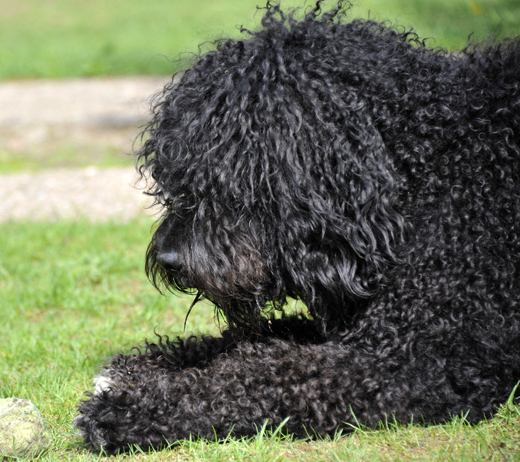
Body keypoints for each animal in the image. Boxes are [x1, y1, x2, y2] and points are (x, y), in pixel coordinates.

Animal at [74, 0, 520, 454]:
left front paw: (132, 409)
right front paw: (152, 363)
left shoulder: (423, 362)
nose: (168, 259)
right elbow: (259, 337)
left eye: (234, 176)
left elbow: (262, 375)